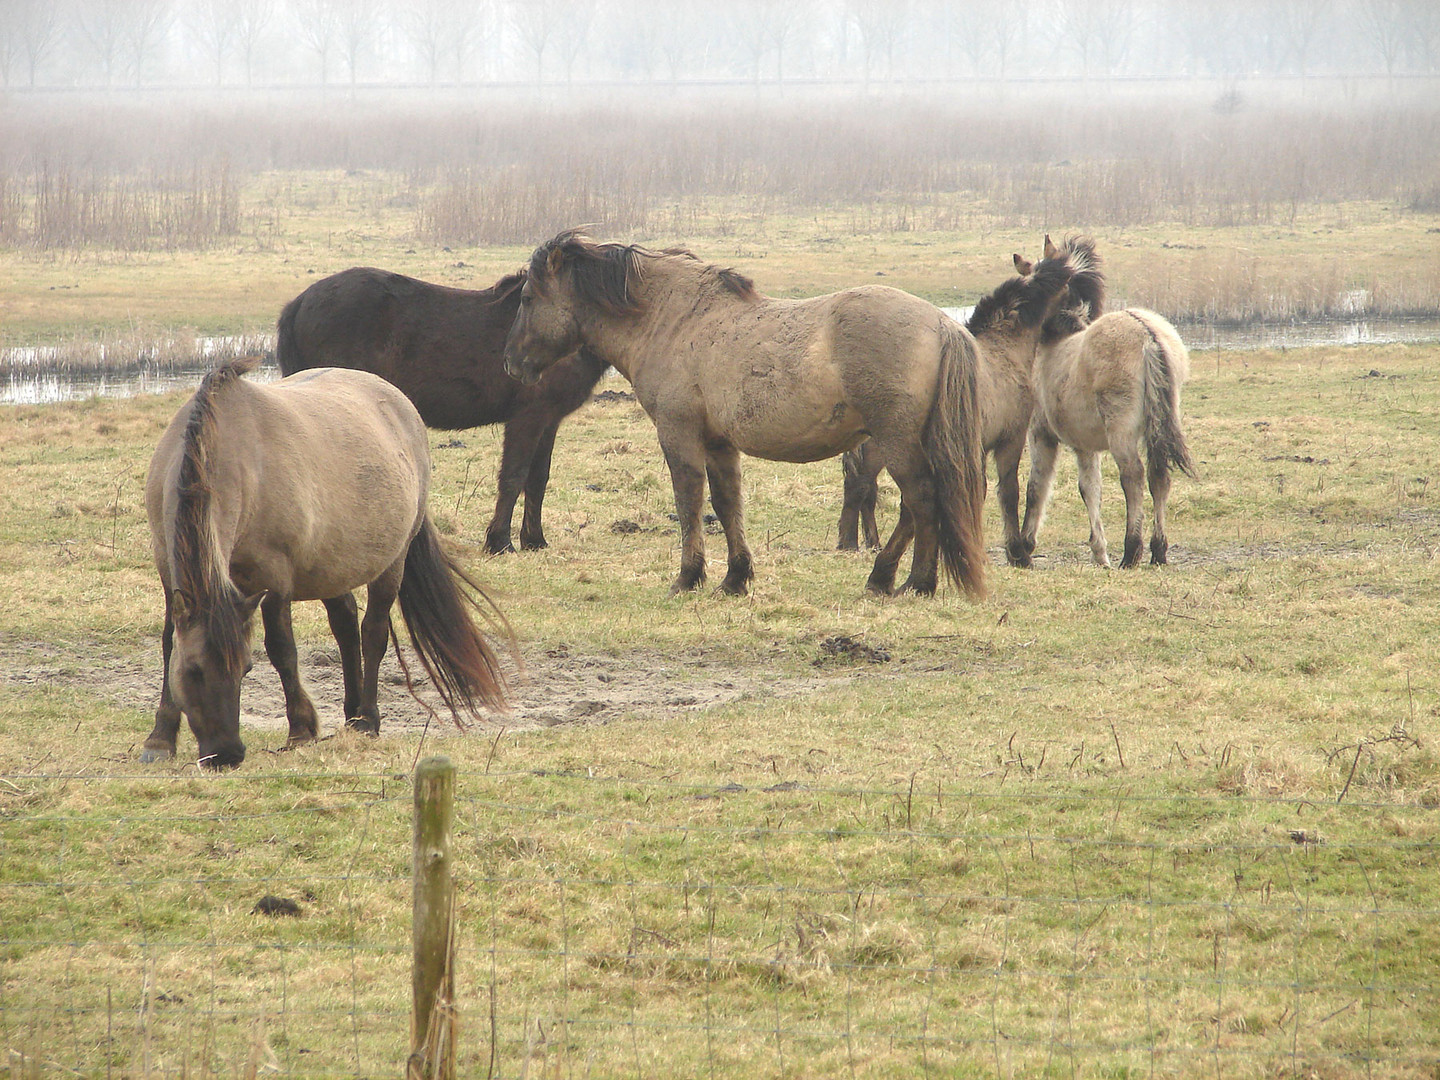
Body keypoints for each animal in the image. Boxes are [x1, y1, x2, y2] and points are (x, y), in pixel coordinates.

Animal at [140, 360, 509, 766]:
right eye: (193, 671)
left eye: (245, 669)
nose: (227, 754)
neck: (233, 453)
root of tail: (401, 404)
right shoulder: (168, 572)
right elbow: (169, 643)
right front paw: (160, 739)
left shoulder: (275, 580)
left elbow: (282, 650)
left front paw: (301, 729)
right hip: (333, 568)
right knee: (346, 626)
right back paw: (351, 712)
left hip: (392, 563)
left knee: (372, 633)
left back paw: (367, 719)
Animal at [275, 264, 607, 552]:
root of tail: (300, 302)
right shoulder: (528, 417)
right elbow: (514, 476)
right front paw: (500, 541)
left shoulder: (549, 419)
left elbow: (538, 479)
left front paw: (535, 541)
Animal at [504, 230, 990, 601]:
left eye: (526, 298)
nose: (511, 363)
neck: (672, 320)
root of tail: (942, 324)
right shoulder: (719, 443)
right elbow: (726, 504)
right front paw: (735, 579)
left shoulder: (678, 434)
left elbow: (689, 501)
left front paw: (688, 578)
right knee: (916, 506)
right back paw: (886, 578)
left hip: (895, 439)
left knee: (922, 499)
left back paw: (915, 583)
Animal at [835, 237, 1088, 570]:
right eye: (1071, 288)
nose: (1083, 320)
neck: (1004, 349)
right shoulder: (1008, 440)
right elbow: (1006, 492)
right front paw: (1017, 553)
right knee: (864, 486)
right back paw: (855, 543)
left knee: (869, 488)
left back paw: (860, 542)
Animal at [1019, 240, 1198, 570]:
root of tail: (1147, 335)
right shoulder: (1084, 445)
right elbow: (1090, 489)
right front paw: (1099, 553)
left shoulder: (1041, 435)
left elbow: (1036, 486)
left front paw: (1023, 548)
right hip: (1158, 425)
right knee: (1159, 478)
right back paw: (1158, 551)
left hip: (1121, 430)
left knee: (1133, 476)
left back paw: (1131, 551)